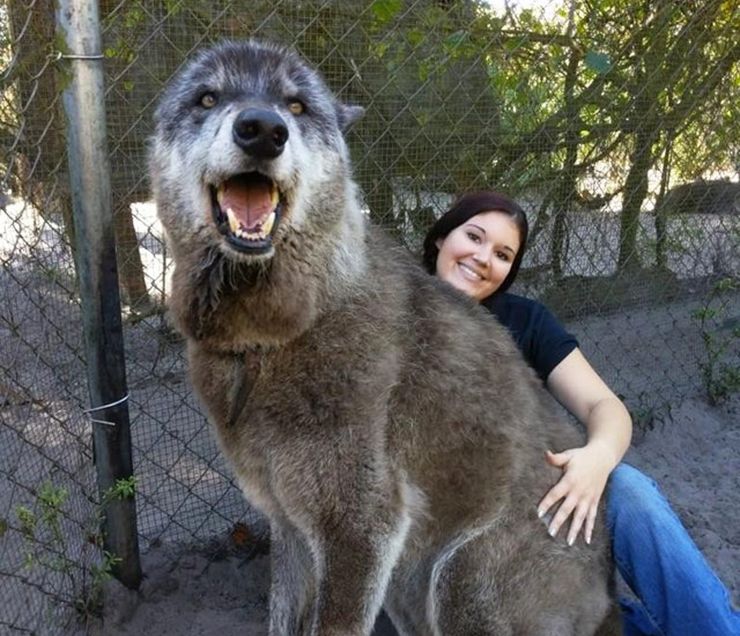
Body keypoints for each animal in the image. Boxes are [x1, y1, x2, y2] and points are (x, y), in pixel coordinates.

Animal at [150, 40, 615, 635]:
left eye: (297, 106)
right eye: (207, 98)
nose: (262, 129)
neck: (270, 338)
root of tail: (606, 590)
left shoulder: (361, 527)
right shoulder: (291, 527)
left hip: (459, 581)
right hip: (406, 586)